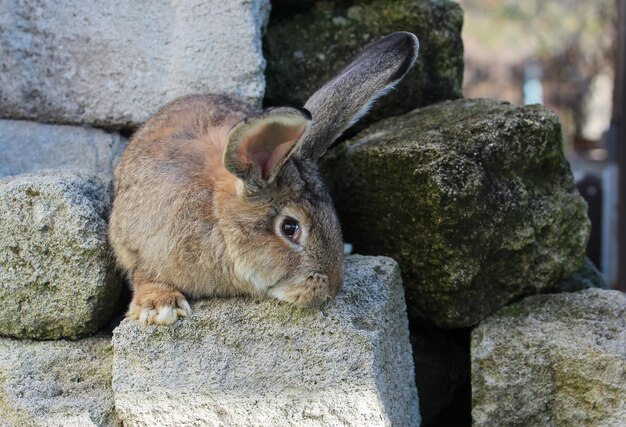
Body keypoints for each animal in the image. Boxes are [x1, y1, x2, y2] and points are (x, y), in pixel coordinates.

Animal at [107, 31, 420, 326]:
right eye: (290, 228)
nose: (332, 287)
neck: (218, 217)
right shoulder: (139, 245)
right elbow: (143, 274)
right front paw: (161, 307)